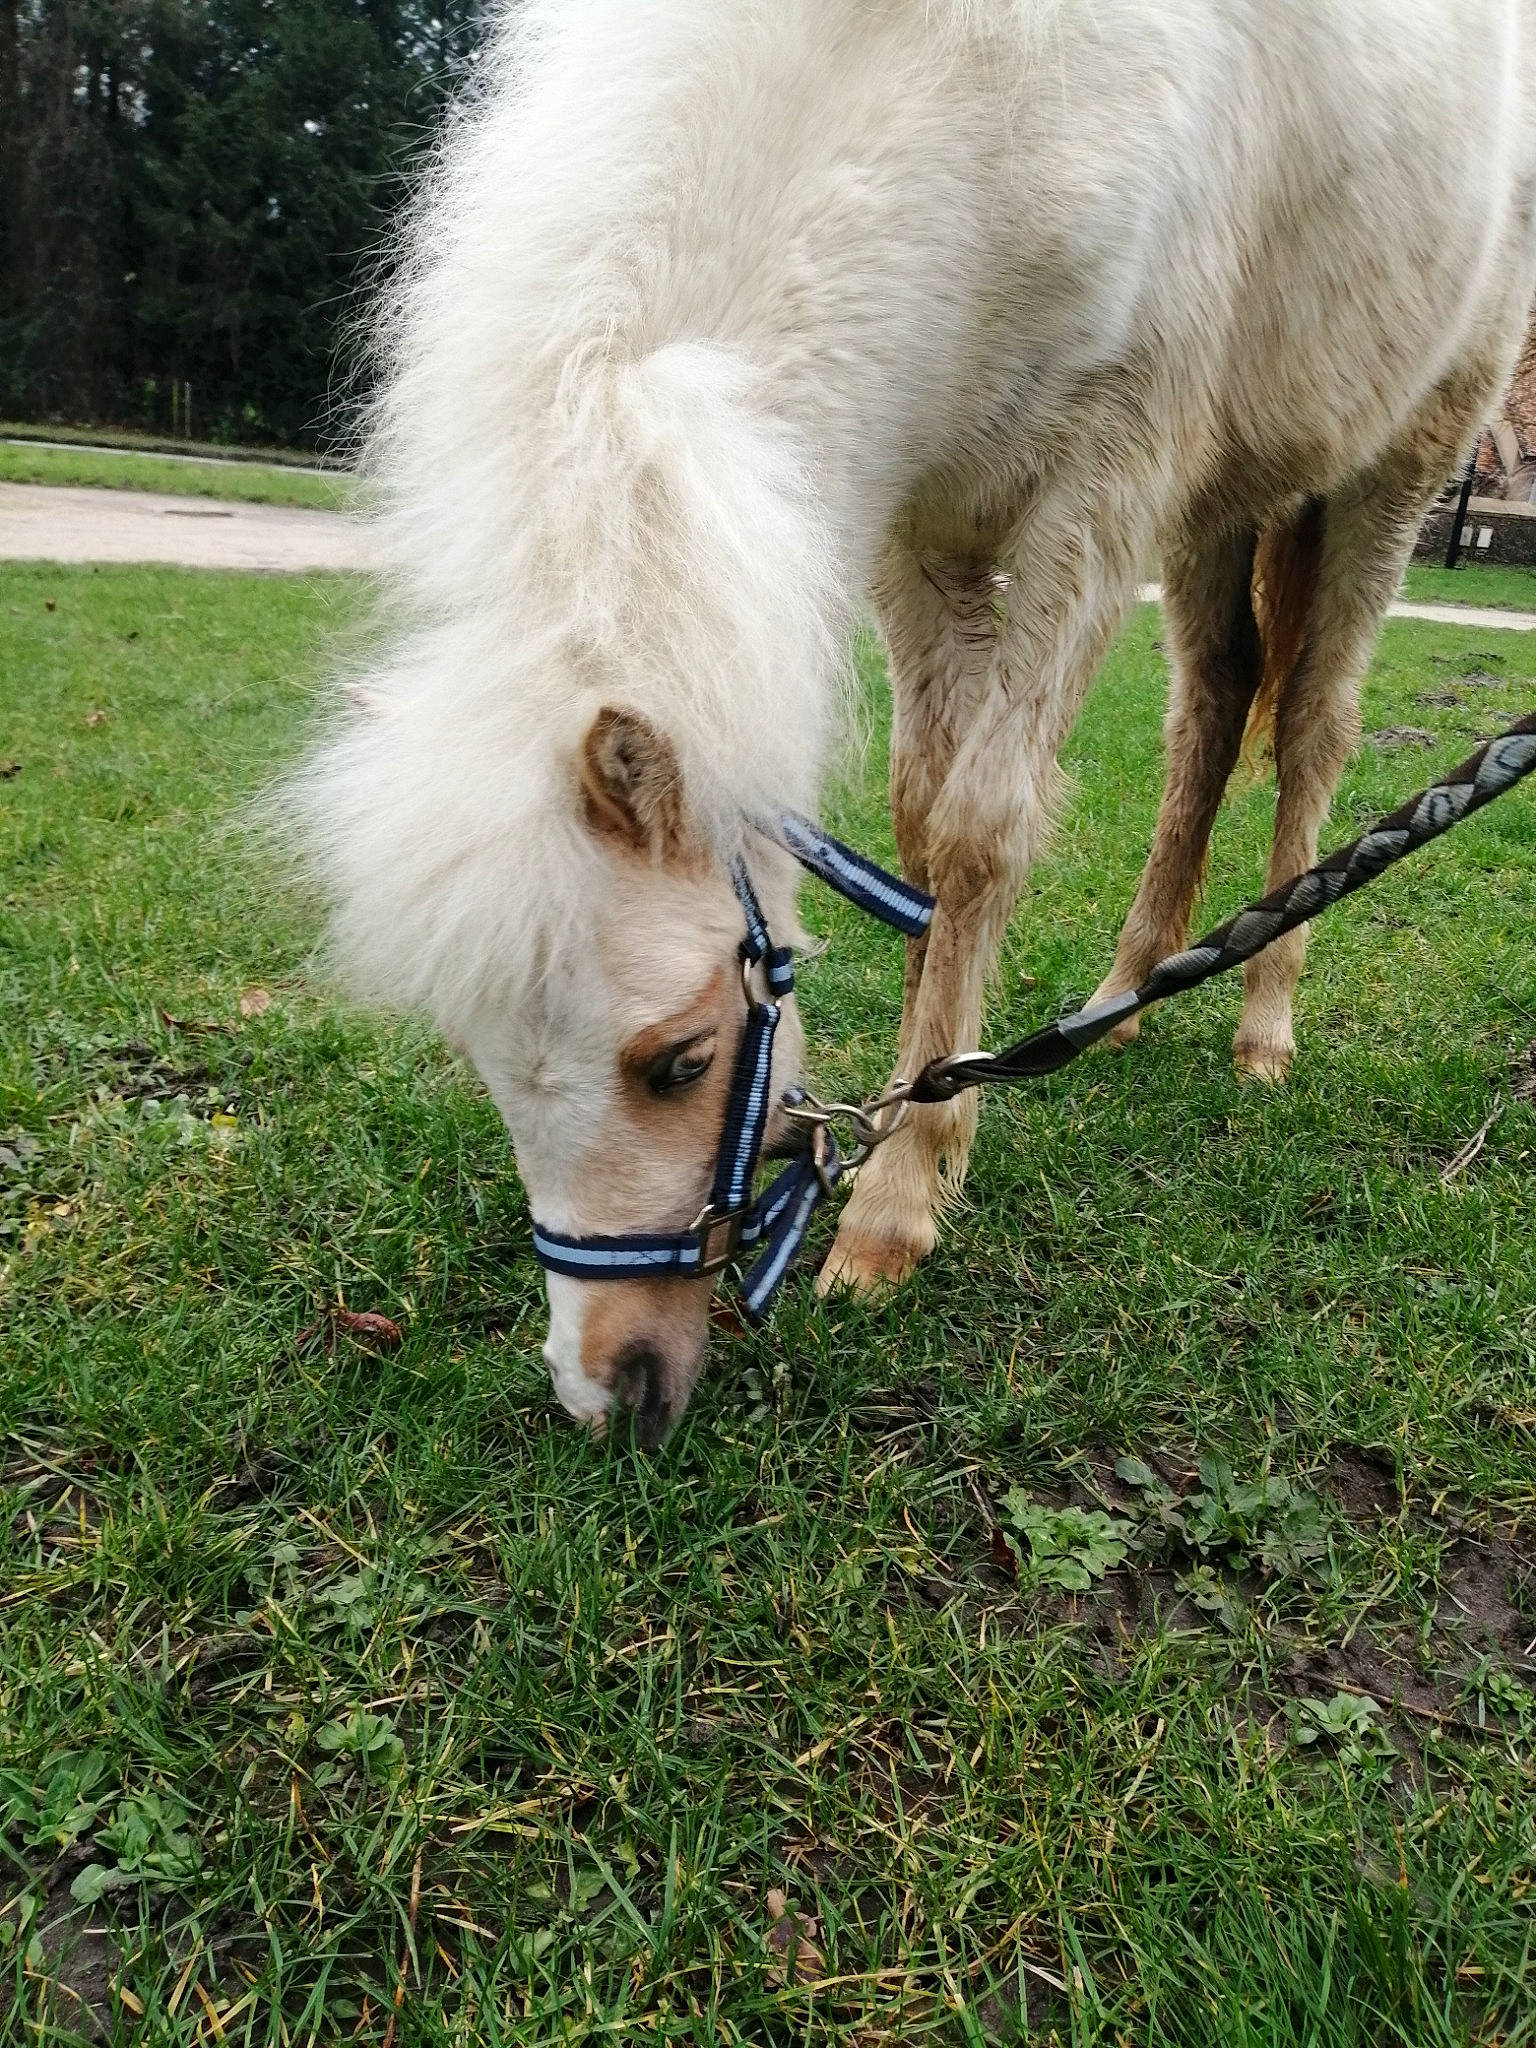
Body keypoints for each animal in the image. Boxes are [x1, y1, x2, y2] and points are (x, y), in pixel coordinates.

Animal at [293, 0, 1536, 1442]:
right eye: (483, 1056)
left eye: (681, 1060)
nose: (607, 1390)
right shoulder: (911, 514)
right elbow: (921, 824)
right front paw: (907, 1112)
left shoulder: (1101, 487)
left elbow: (982, 830)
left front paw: (897, 1201)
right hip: (1221, 503)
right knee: (1214, 707)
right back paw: (1126, 991)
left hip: (1390, 471)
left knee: (1316, 728)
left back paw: (1261, 1025)